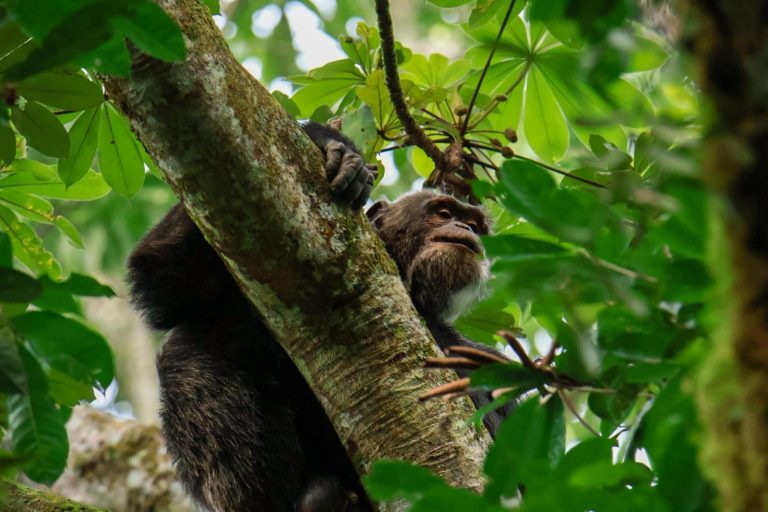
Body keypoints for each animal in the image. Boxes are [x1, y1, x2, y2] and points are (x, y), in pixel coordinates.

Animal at [127, 121, 506, 512]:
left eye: (475, 224)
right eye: (444, 213)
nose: (466, 231)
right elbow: (165, 276)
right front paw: (330, 145)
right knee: (193, 353)